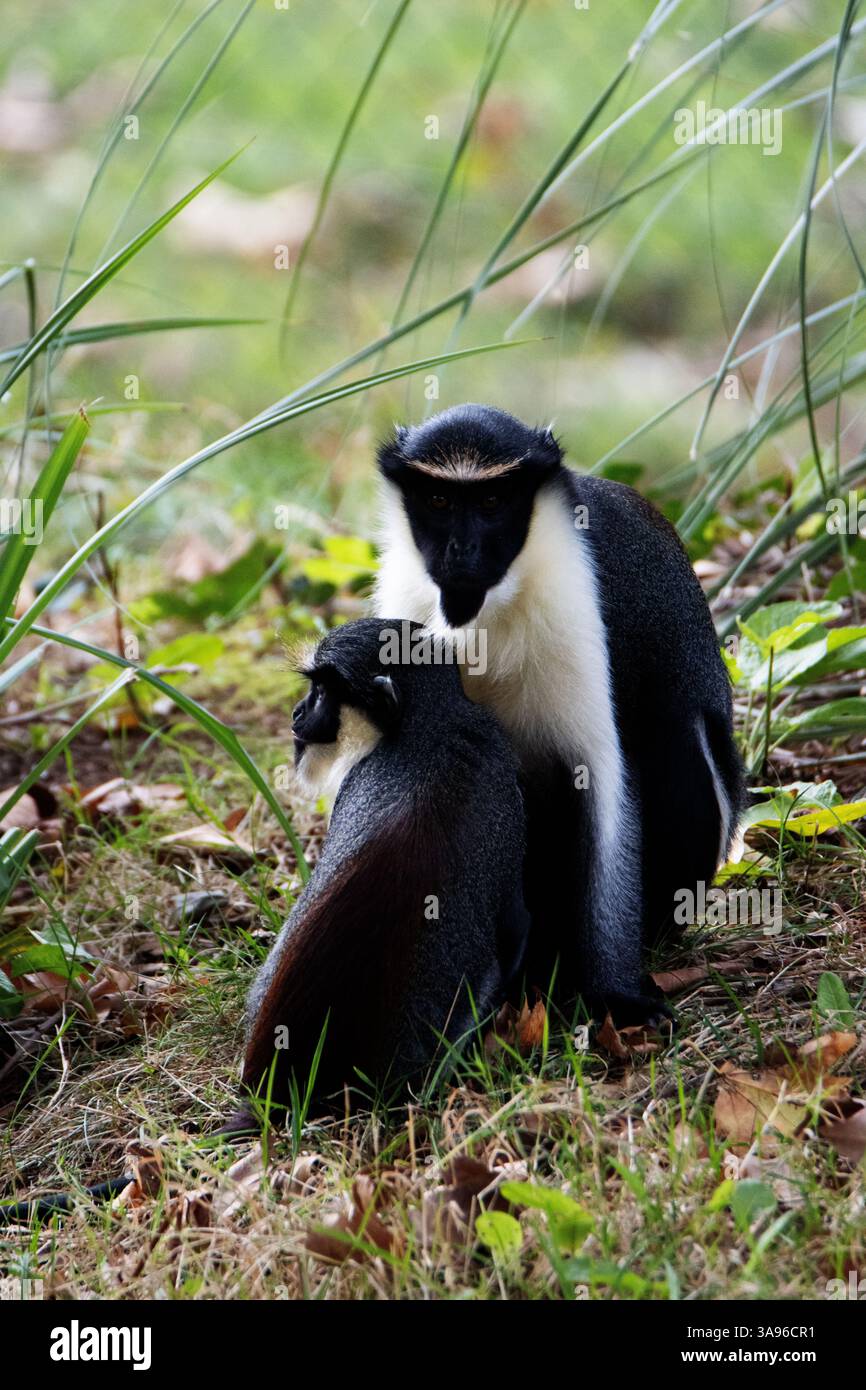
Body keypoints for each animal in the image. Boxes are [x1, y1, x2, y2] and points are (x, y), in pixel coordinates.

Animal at [373, 403, 745, 1028]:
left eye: (492, 501)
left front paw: (615, 996)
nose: (460, 552)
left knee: (678, 736)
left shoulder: (576, 602)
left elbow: (599, 781)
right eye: (440, 500)